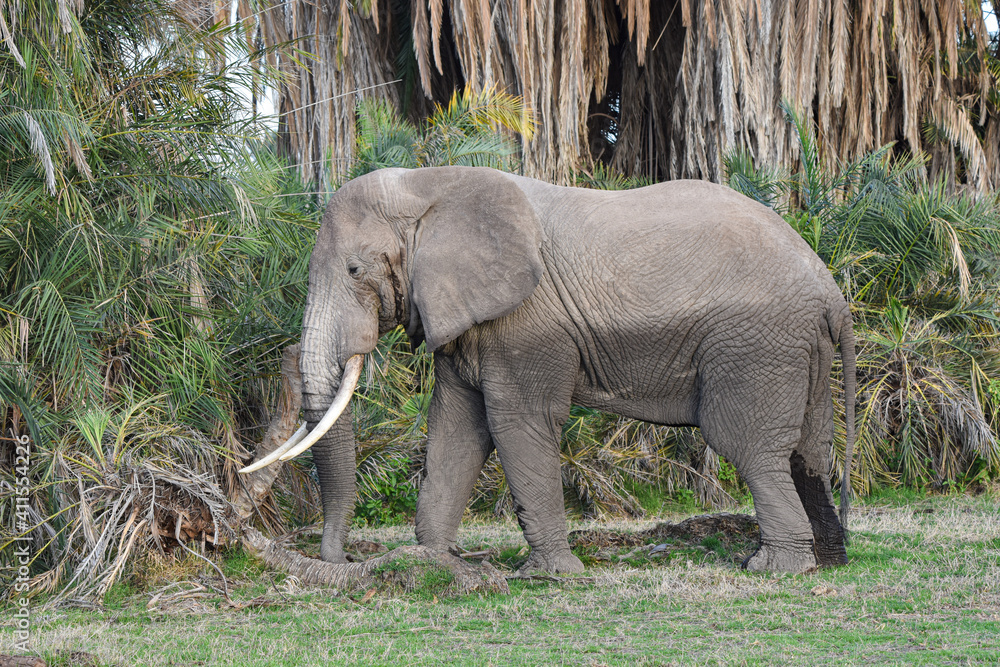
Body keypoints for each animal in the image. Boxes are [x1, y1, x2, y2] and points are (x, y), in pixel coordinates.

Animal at [242, 165, 856, 574]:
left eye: (354, 270)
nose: (342, 561)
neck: (431, 185)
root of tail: (831, 292)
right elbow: (456, 427)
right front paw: (434, 562)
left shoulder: (527, 324)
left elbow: (516, 423)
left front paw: (548, 577)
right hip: (796, 348)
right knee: (808, 451)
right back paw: (830, 560)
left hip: (756, 345)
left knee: (747, 445)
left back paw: (775, 569)